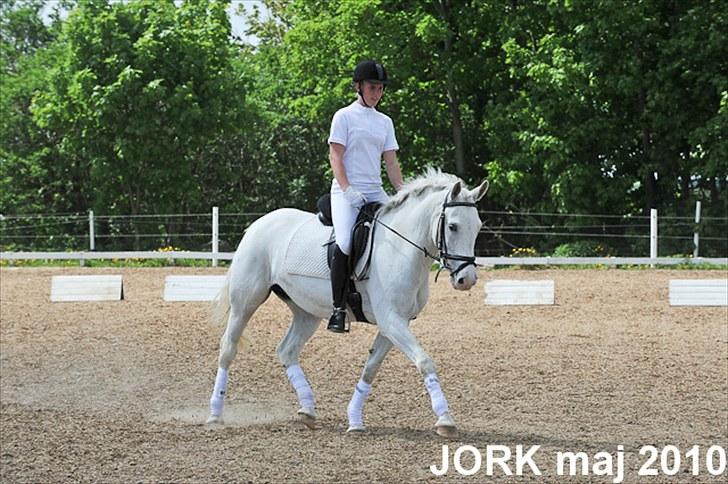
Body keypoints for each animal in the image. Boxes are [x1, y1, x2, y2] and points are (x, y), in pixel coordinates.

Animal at [208, 168, 486, 436]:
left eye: (478, 227)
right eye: (453, 226)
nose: (467, 279)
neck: (400, 249)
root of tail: (258, 223)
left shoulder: (395, 324)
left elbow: (370, 368)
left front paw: (354, 419)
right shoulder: (392, 321)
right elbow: (425, 361)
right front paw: (445, 419)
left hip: (306, 312)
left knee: (287, 350)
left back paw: (307, 410)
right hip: (246, 303)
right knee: (228, 348)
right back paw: (215, 414)